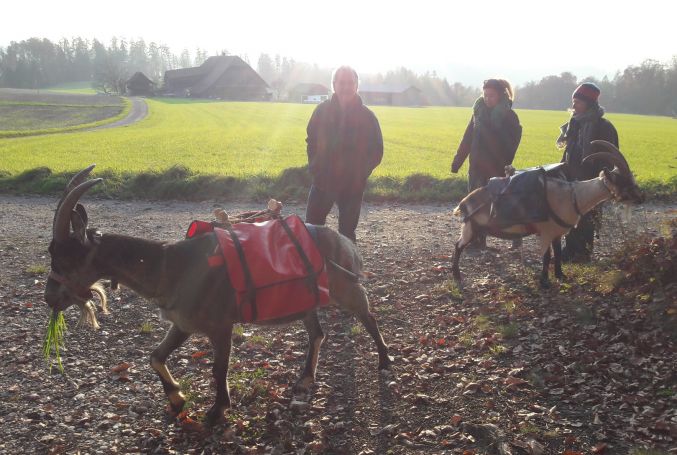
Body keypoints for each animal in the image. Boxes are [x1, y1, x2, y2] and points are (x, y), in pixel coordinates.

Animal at [45, 167, 390, 428]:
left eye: (64, 260)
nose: (49, 298)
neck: (171, 266)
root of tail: (346, 242)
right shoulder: (183, 323)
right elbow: (155, 356)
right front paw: (176, 399)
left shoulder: (221, 325)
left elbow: (218, 369)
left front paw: (217, 410)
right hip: (306, 297)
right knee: (317, 333)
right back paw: (305, 379)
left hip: (345, 289)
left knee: (368, 316)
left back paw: (385, 361)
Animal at [452, 140, 640, 288]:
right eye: (623, 180)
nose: (641, 197)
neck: (573, 196)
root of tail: (465, 202)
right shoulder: (546, 232)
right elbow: (547, 256)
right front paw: (544, 281)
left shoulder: (557, 233)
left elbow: (557, 254)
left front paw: (560, 276)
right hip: (471, 227)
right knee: (458, 245)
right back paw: (457, 275)